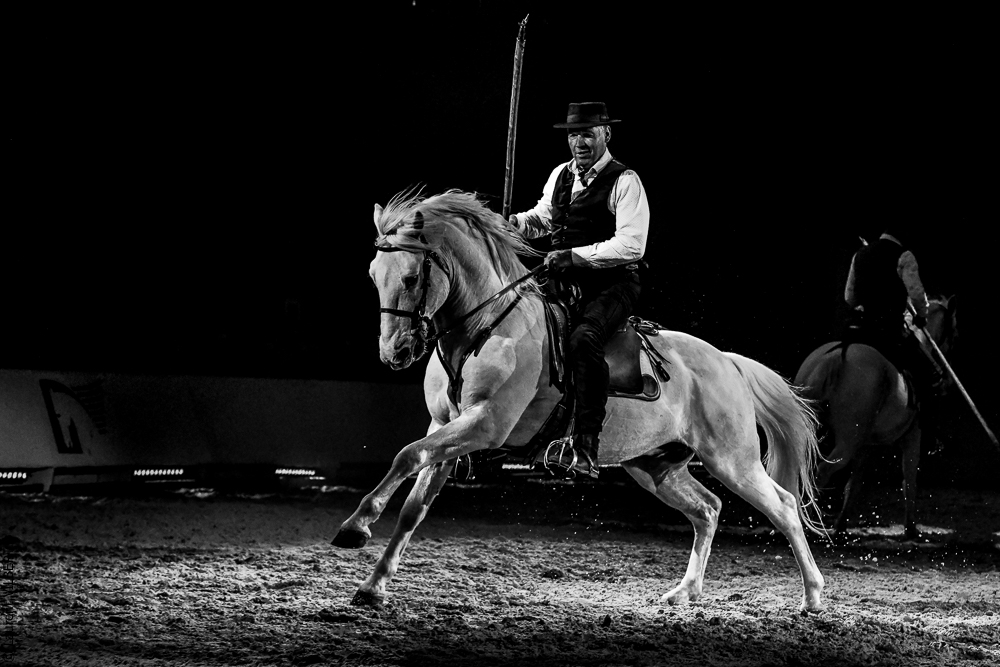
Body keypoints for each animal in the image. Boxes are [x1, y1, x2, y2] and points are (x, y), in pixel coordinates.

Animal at [334, 188, 828, 612]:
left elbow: (405, 455)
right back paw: (685, 592)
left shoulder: (484, 424)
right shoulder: (444, 428)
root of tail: (726, 362)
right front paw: (372, 586)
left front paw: (355, 527)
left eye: (411, 277)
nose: (394, 353)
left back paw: (813, 597)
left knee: (784, 507)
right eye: (374, 276)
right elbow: (414, 502)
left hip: (732, 460)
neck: (487, 323)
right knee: (708, 509)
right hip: (655, 466)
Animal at [793, 296, 957, 539]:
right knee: (822, 471)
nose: (947, 379)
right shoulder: (913, 435)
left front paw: (841, 525)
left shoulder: (865, 445)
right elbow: (910, 480)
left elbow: (854, 483)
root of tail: (835, 357)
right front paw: (911, 529)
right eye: (953, 333)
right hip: (848, 441)